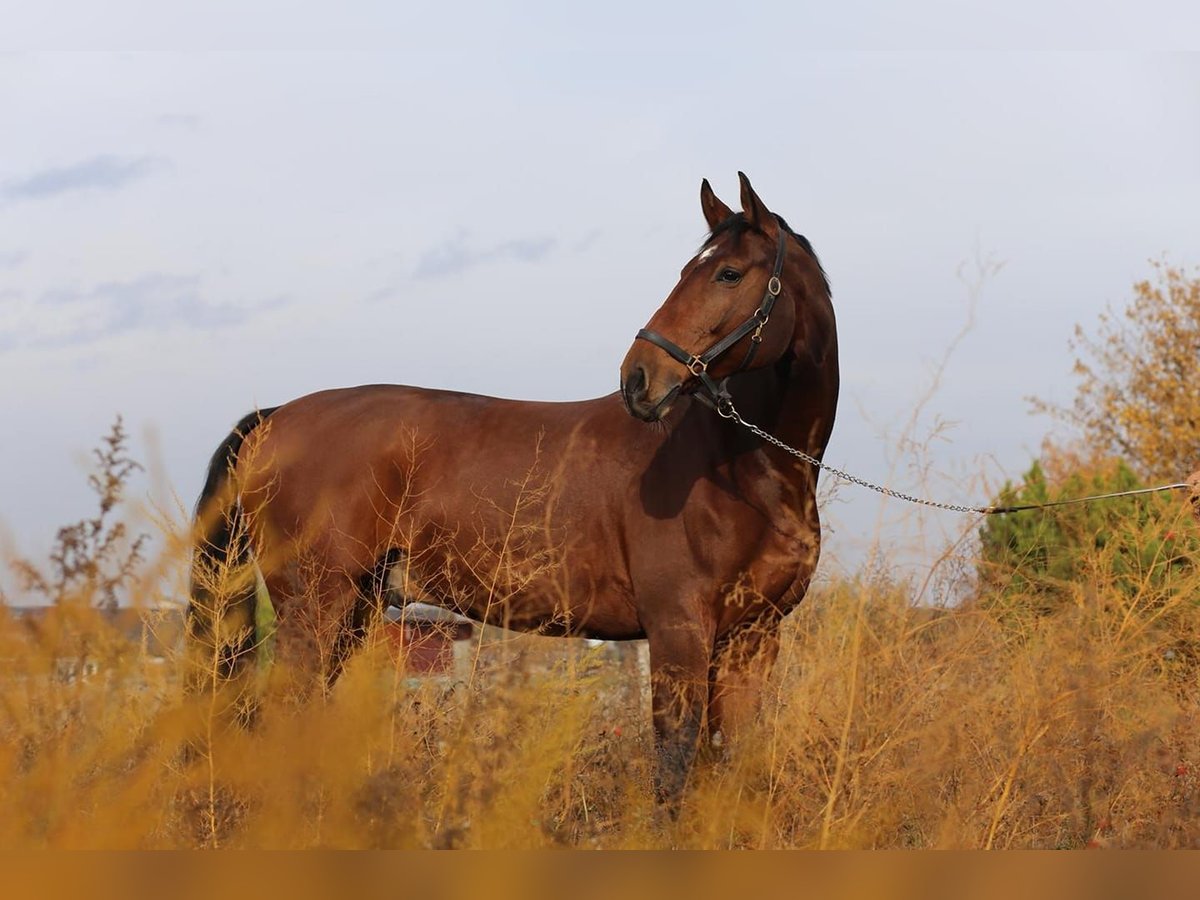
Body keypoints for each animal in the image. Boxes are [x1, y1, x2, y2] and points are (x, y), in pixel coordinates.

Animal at [192, 172, 840, 806]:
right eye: (688, 270)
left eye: (728, 273)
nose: (639, 379)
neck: (737, 468)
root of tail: (274, 418)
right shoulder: (679, 630)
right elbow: (674, 769)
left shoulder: (751, 638)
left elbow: (737, 763)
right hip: (314, 609)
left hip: (353, 611)